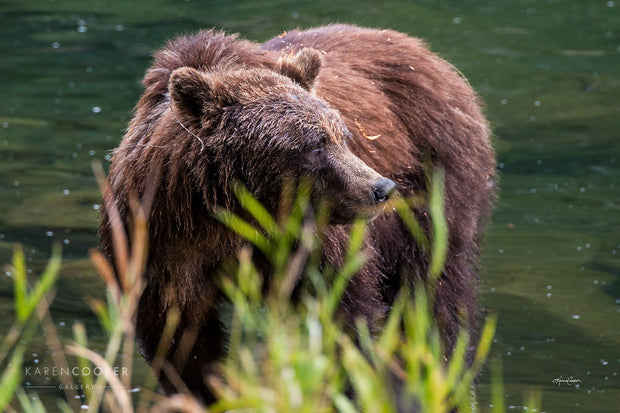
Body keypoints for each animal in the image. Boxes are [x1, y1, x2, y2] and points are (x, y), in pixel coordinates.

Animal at [99, 24, 496, 404]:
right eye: (314, 144)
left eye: (342, 134)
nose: (381, 188)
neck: (232, 216)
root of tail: (423, 52)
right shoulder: (160, 242)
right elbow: (180, 339)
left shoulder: (312, 246)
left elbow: (343, 315)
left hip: (436, 181)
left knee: (432, 292)